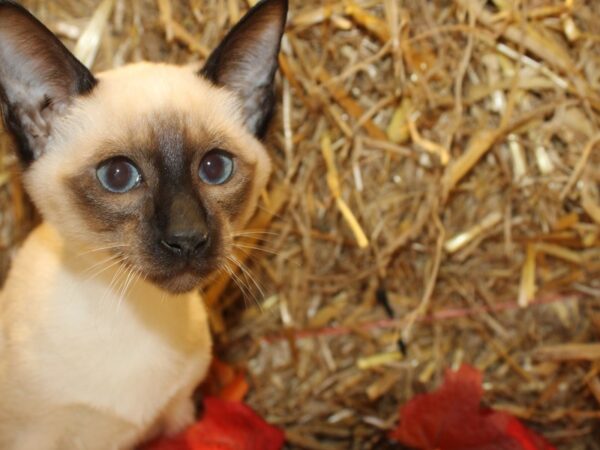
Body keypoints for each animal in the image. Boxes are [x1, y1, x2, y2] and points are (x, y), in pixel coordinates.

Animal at [0, 0, 288, 450]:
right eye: (118, 175)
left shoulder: (179, 416)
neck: (134, 313)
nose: (186, 239)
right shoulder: (32, 438)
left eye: (215, 168)